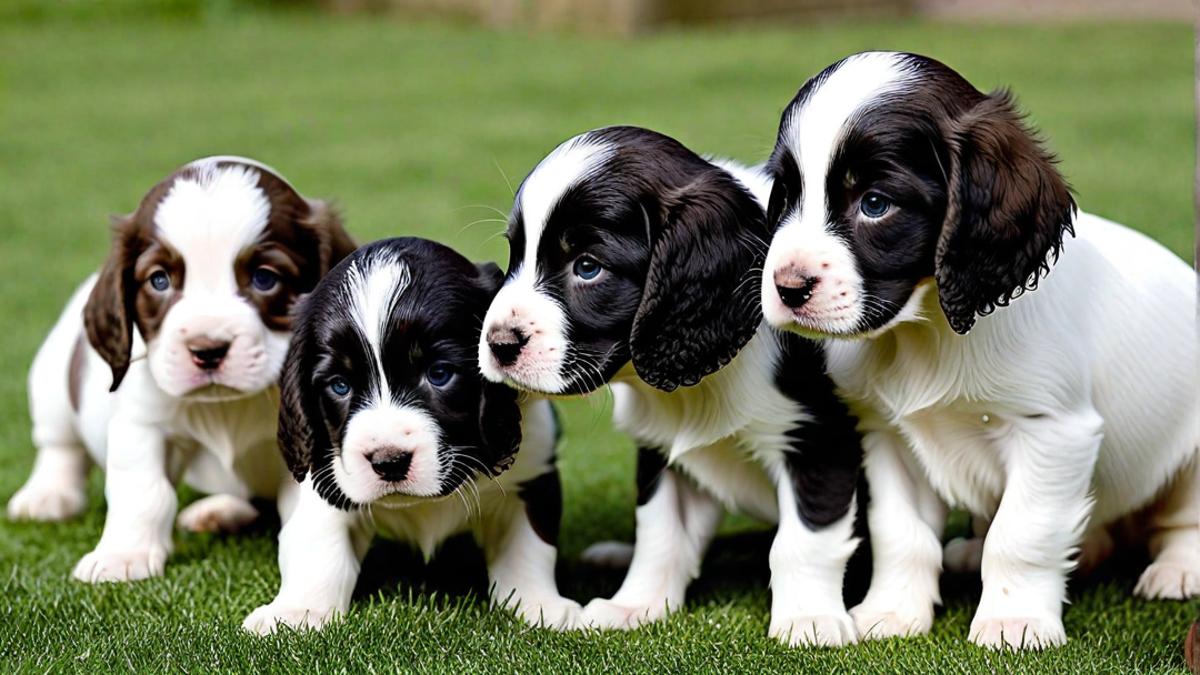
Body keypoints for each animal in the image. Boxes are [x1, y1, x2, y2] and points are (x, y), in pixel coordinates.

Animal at [8, 154, 355, 581]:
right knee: (59, 444)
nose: (208, 350)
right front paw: (123, 555)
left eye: (264, 279)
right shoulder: (143, 424)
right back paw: (49, 494)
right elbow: (143, 492)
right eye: (159, 280)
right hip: (52, 380)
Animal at [241, 236, 578, 629]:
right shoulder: (327, 473)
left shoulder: (534, 472)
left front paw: (542, 607)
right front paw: (297, 612)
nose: (388, 462)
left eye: (440, 374)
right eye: (339, 385)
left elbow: (529, 547)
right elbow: (319, 542)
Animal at [475, 126, 864, 648]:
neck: (698, 384)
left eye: (588, 267)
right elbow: (660, 532)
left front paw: (809, 619)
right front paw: (634, 605)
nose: (498, 344)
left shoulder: (820, 437)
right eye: (516, 253)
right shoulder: (661, 447)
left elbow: (805, 538)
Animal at [758, 49, 1200, 648]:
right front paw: (893, 611)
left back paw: (1178, 568)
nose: (787, 288)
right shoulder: (888, 436)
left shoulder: (1052, 430)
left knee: (1180, 520)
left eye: (874, 204)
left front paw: (1014, 621)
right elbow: (900, 533)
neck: (927, 331)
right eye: (787, 193)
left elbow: (1022, 533)